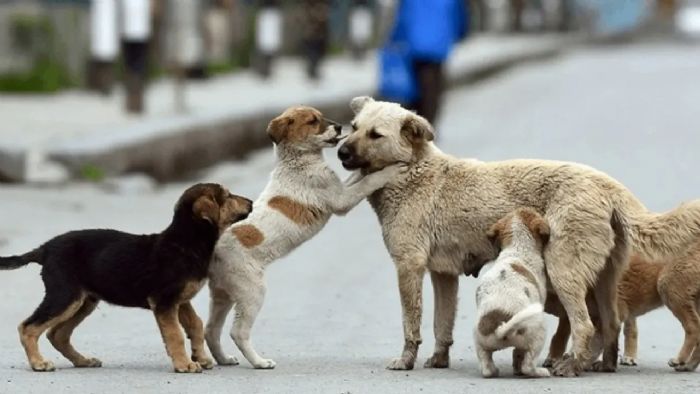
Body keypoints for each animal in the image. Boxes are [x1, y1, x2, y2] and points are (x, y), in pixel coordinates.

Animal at [0, 183, 252, 374]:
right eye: (228, 196)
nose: (250, 202)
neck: (186, 241)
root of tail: (45, 249)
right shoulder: (164, 301)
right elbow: (175, 335)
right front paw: (184, 364)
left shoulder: (180, 300)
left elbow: (196, 325)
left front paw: (201, 357)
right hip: (65, 295)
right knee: (28, 327)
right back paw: (38, 363)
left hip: (84, 301)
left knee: (57, 334)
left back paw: (83, 361)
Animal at [205, 105, 402, 370]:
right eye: (312, 121)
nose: (339, 126)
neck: (298, 162)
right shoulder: (341, 200)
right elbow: (368, 181)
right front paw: (391, 169)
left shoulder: (340, 188)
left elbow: (357, 178)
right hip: (252, 291)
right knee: (238, 332)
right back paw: (260, 362)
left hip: (223, 294)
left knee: (211, 330)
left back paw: (224, 359)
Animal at [476, 208, 552, 378]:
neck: (517, 249)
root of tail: (500, 330)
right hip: (539, 334)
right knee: (527, 365)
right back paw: (540, 372)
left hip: (479, 341)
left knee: (486, 367)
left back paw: (493, 370)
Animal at [544, 240, 700, 372]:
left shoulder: (609, 317)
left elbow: (596, 344)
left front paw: (579, 365)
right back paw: (689, 365)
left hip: (668, 287)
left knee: (693, 328)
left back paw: (680, 360)